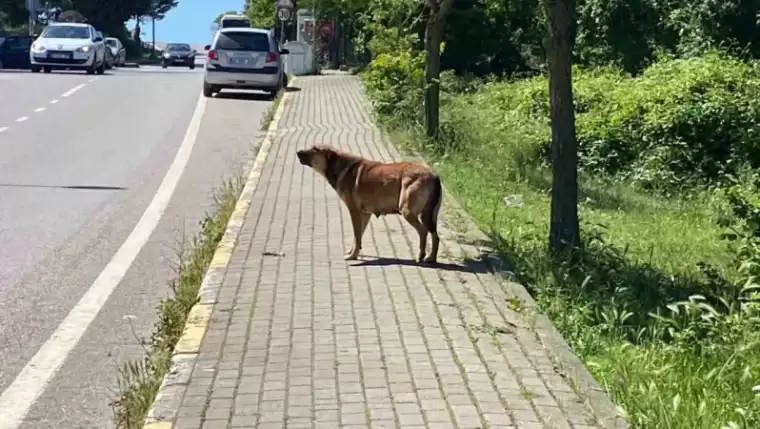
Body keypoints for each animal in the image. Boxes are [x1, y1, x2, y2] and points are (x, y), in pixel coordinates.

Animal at [296, 144, 442, 262]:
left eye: (314, 149)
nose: (297, 152)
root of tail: (434, 175)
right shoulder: (365, 214)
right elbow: (358, 236)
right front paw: (353, 252)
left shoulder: (354, 212)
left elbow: (357, 235)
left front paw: (352, 256)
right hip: (429, 215)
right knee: (435, 235)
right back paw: (431, 258)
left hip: (407, 210)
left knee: (423, 231)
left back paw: (421, 255)